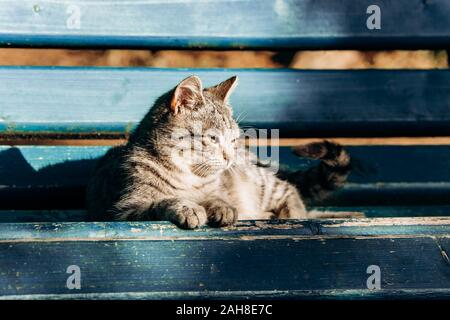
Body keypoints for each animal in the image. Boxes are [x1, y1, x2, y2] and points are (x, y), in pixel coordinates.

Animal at [87, 76, 362, 229]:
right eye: (212, 138)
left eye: (233, 139)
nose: (230, 156)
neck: (188, 175)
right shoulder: (124, 209)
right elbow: (162, 201)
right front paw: (188, 207)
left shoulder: (219, 187)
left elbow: (217, 196)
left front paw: (220, 206)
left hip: (262, 183)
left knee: (290, 191)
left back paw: (293, 215)